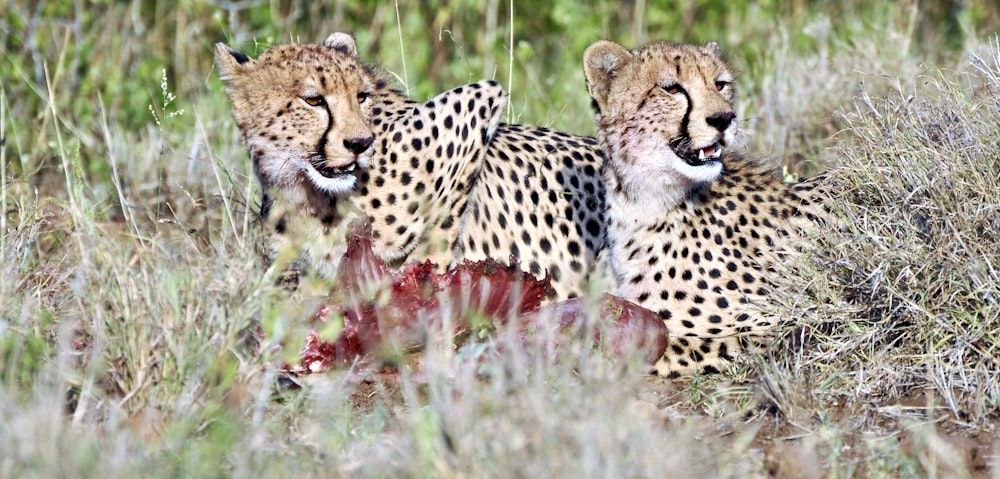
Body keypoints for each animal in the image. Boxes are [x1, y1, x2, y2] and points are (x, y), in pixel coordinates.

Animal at [216, 34, 604, 300]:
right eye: (313, 100)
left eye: (361, 96)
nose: (361, 144)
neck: (305, 191)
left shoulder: (480, 100)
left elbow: (436, 241)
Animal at [584, 39, 832, 376]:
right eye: (671, 88)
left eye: (719, 84)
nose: (724, 118)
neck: (642, 204)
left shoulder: (789, 317)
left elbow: (663, 351)